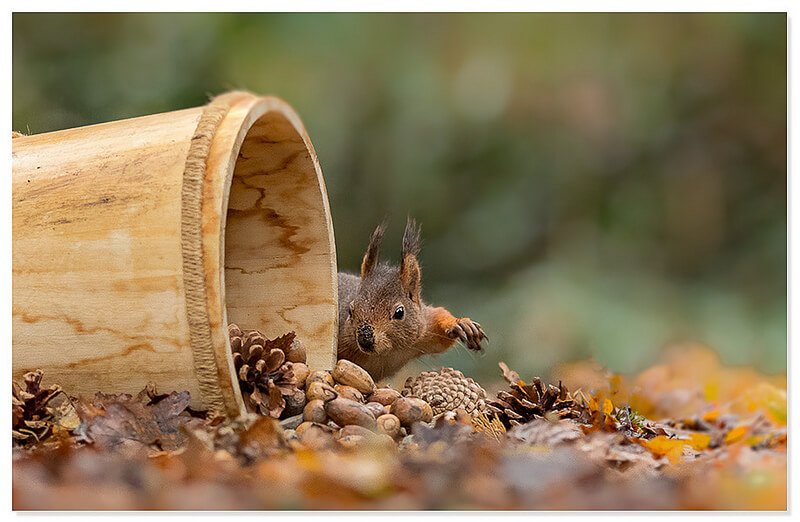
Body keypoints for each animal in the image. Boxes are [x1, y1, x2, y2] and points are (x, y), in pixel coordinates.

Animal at [337, 218, 488, 381]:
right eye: (350, 311)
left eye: (399, 312)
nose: (365, 339)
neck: (388, 351)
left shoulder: (425, 330)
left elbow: (442, 337)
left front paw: (459, 324)